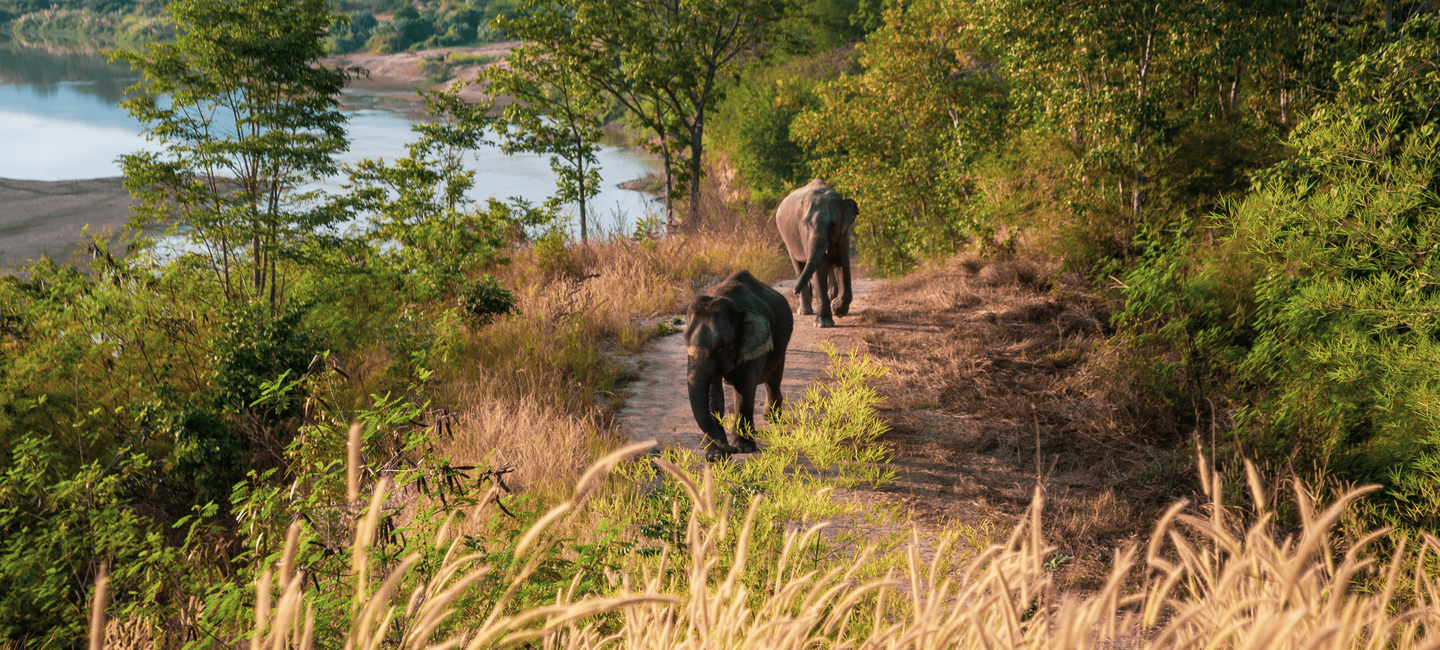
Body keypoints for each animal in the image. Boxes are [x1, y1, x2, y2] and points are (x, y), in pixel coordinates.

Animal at [684, 270, 794, 461]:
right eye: (684, 341)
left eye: (720, 347)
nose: (730, 449)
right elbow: (712, 392)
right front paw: (715, 456)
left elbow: (745, 387)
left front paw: (743, 448)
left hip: (781, 340)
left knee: (773, 378)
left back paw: (771, 418)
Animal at [775, 178, 859, 328]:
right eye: (806, 223)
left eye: (833, 225)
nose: (793, 291)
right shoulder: (804, 233)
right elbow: (820, 268)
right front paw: (823, 324)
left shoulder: (843, 233)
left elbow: (842, 264)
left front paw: (837, 310)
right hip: (787, 240)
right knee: (798, 267)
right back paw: (805, 312)